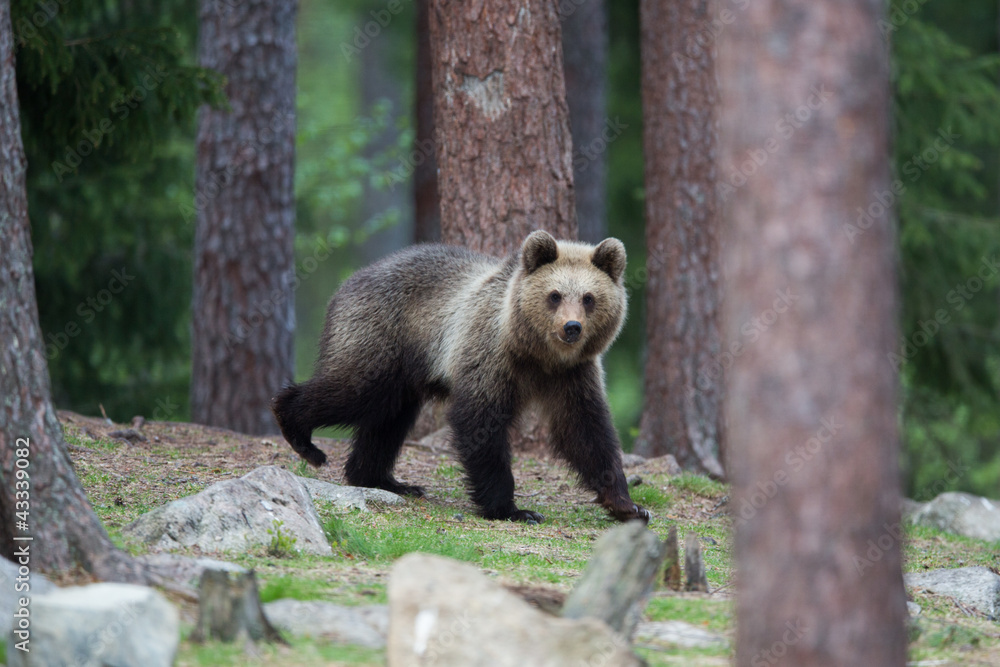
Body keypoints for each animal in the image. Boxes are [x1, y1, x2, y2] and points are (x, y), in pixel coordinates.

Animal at [271, 230, 649, 524]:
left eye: (589, 298)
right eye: (554, 295)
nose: (571, 328)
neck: (537, 355)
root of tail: (347, 283)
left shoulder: (573, 375)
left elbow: (586, 431)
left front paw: (627, 504)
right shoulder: (489, 354)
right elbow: (480, 422)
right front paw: (512, 509)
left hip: (403, 371)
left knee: (389, 419)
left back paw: (387, 480)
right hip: (380, 337)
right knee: (354, 389)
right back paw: (301, 435)